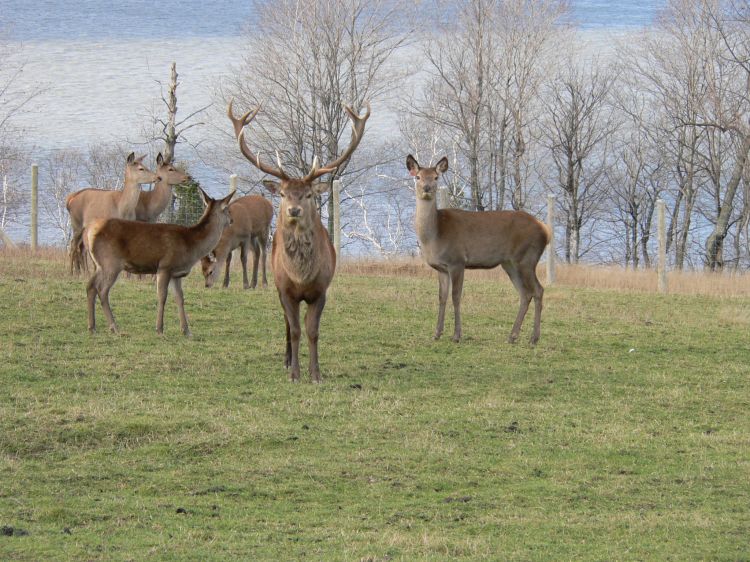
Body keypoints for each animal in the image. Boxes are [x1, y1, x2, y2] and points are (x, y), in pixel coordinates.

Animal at [83, 188, 235, 336]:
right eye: (227, 209)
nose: (232, 220)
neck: (190, 246)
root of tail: (90, 232)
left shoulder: (176, 273)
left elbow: (180, 298)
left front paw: (186, 330)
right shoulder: (165, 266)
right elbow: (162, 296)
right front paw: (160, 329)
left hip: (100, 265)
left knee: (90, 286)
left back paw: (92, 327)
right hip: (111, 263)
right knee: (102, 290)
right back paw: (114, 327)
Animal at [228, 99, 372, 380]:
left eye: (307, 194)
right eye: (284, 193)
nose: (293, 210)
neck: (302, 276)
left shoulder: (321, 290)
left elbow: (312, 331)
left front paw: (315, 374)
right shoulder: (285, 289)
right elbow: (294, 330)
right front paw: (294, 373)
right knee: (286, 323)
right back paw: (286, 360)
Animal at [406, 155, 552, 344]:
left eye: (436, 177)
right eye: (418, 177)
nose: (427, 188)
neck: (435, 236)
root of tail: (545, 230)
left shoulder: (457, 261)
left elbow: (456, 296)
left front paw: (456, 335)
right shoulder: (441, 267)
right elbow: (442, 297)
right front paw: (437, 333)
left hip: (527, 258)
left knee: (538, 290)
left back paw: (533, 338)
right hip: (510, 263)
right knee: (525, 293)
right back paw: (512, 336)